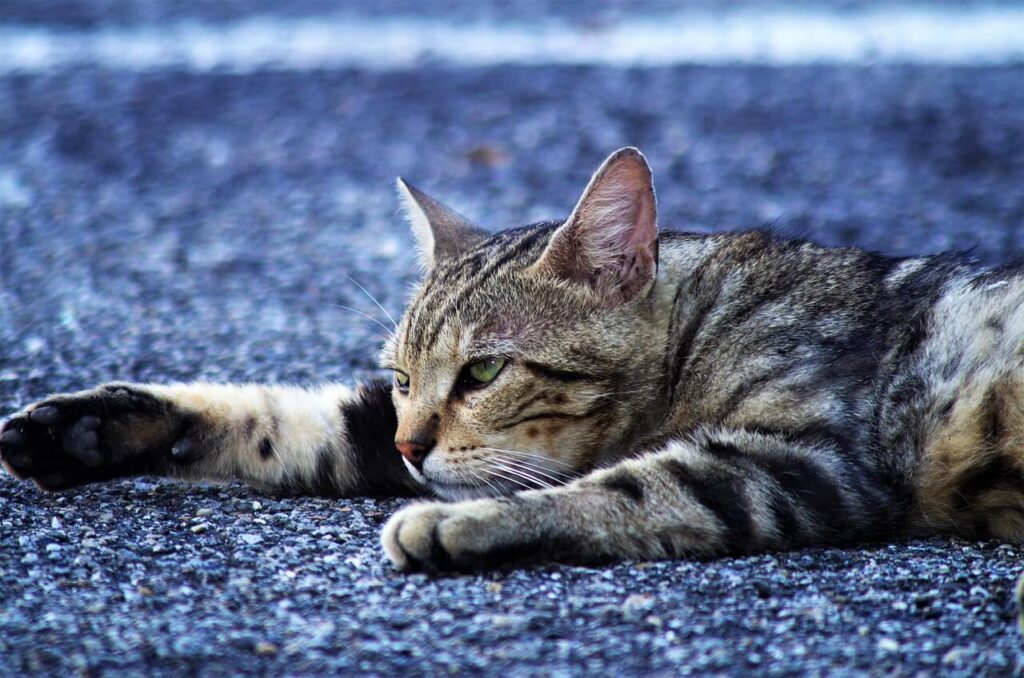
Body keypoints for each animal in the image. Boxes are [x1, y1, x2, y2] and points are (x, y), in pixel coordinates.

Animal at [2, 148, 1024, 622]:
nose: (412, 444)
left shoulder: (807, 462)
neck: (698, 329)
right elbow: (283, 418)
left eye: (485, 370)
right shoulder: (393, 435)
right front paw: (86, 426)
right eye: (402, 375)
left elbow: (628, 490)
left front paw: (459, 527)